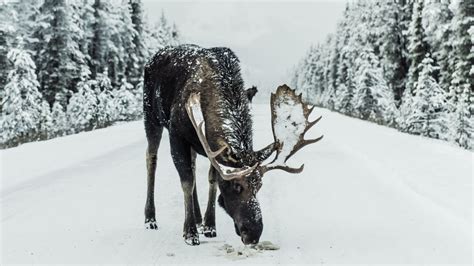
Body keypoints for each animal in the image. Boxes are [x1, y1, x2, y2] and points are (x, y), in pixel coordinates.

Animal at [143, 43, 324, 245]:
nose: (254, 234)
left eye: (259, 185)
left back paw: (198, 218)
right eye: (237, 186)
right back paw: (150, 218)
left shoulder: (211, 147)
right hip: (151, 117)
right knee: (151, 159)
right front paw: (189, 233)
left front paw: (209, 225)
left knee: (193, 164)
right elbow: (187, 181)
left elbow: (212, 179)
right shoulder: (177, 134)